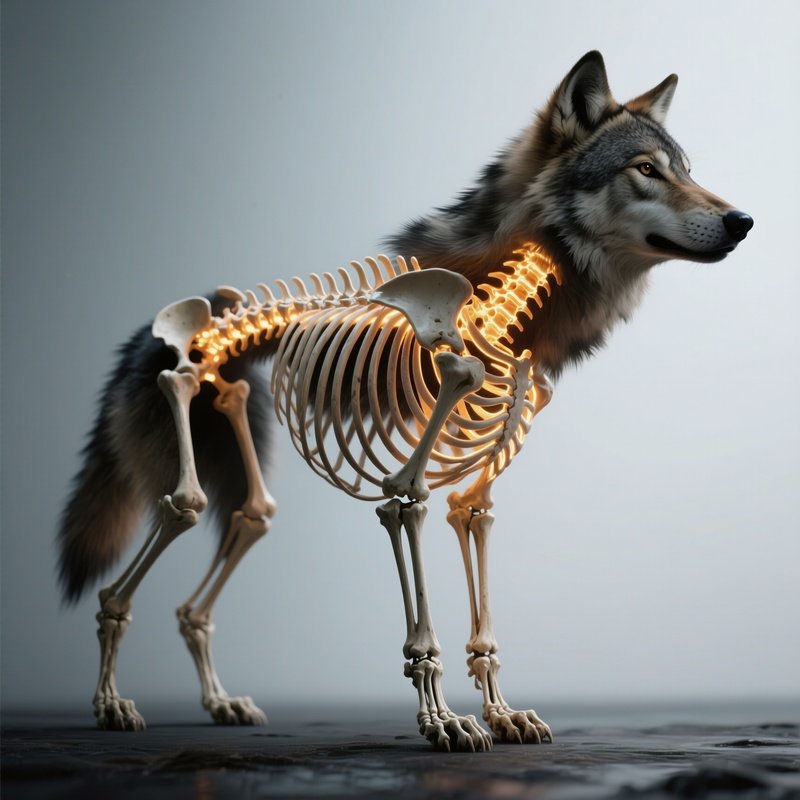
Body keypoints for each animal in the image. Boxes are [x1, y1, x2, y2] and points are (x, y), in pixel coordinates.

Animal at [59, 51, 752, 751]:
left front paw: (502, 714)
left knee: (239, 530)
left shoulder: (484, 462)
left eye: (687, 168)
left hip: (236, 410)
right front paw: (443, 720)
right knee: (167, 521)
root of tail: (208, 309)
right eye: (645, 169)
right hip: (186, 410)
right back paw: (111, 703)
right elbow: (408, 519)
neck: (507, 316)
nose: (742, 222)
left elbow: (472, 518)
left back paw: (220, 702)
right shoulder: (407, 475)